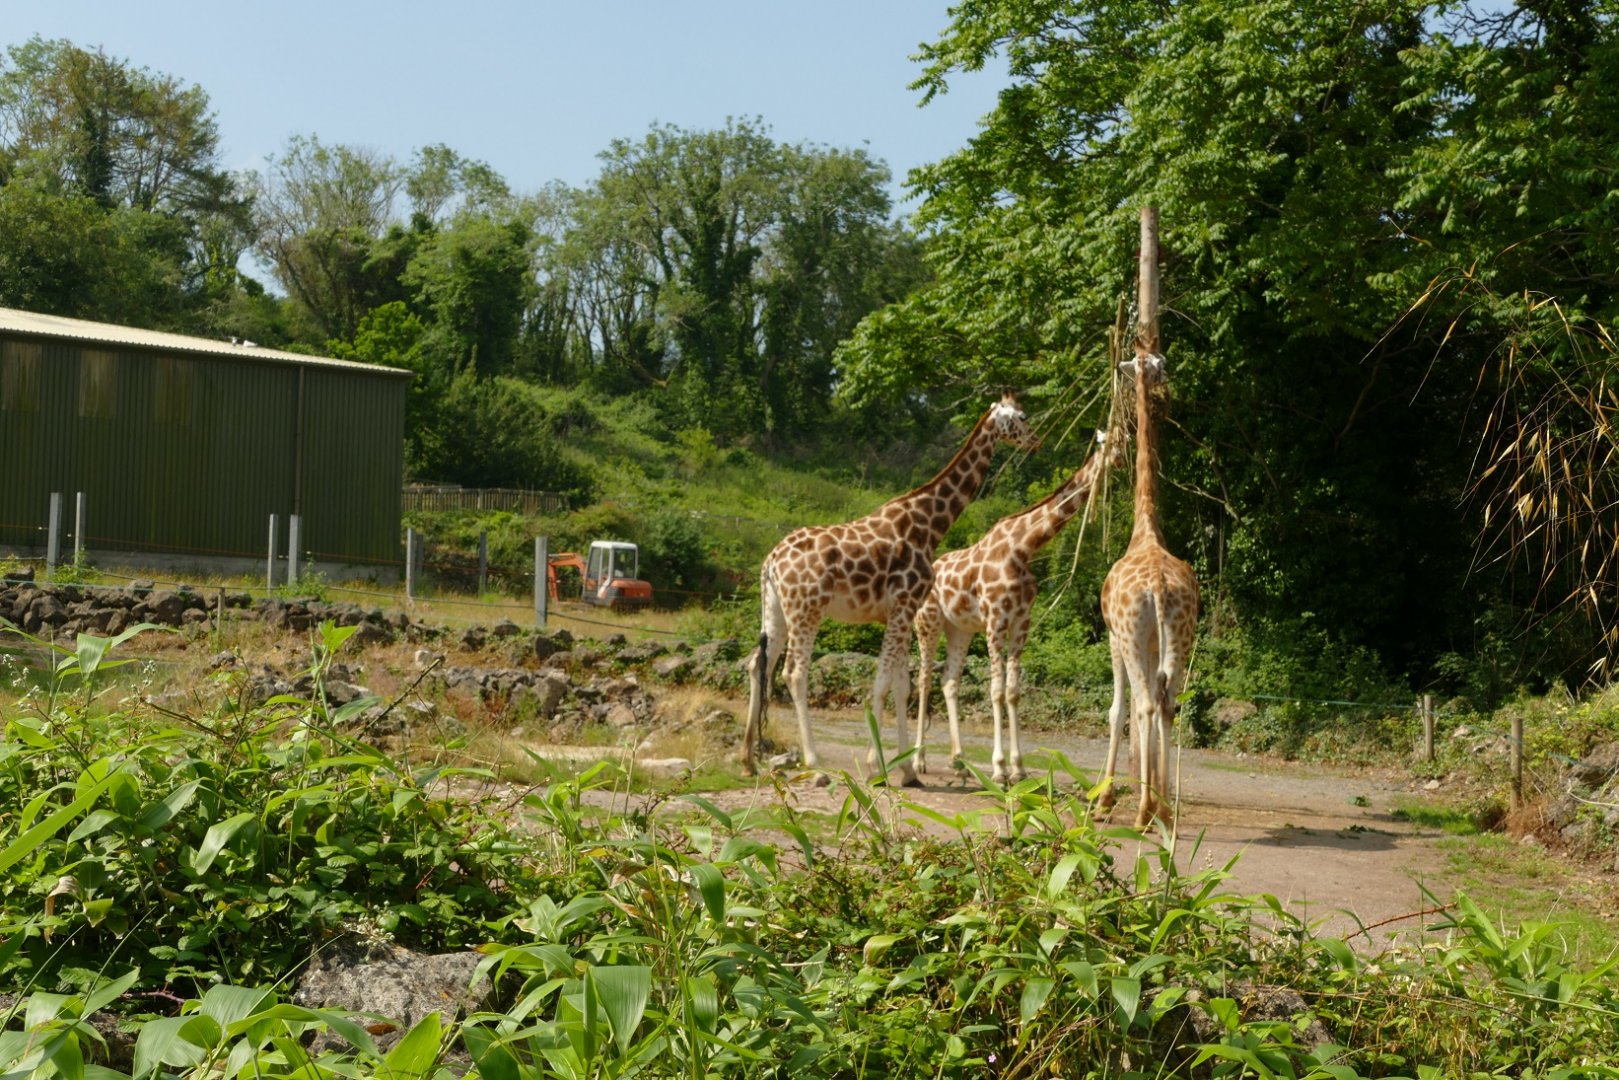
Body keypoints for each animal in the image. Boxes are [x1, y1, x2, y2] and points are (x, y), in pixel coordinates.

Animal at [741, 393, 1040, 786]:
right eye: (1022, 416)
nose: (1036, 441)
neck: (928, 525)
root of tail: (770, 562)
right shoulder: (903, 605)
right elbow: (884, 681)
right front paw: (877, 765)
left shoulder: (900, 611)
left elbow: (901, 684)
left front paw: (908, 768)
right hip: (807, 608)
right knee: (794, 672)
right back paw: (814, 764)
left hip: (775, 609)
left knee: (756, 664)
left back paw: (748, 759)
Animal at [912, 428, 1126, 784]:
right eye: (1109, 442)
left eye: (1127, 439)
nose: (1123, 459)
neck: (1023, 548)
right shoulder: (995, 620)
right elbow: (996, 691)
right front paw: (999, 769)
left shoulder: (1021, 621)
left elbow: (1013, 691)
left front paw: (1019, 768)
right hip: (928, 622)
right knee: (924, 678)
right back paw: (918, 761)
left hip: (959, 628)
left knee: (949, 681)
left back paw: (960, 762)